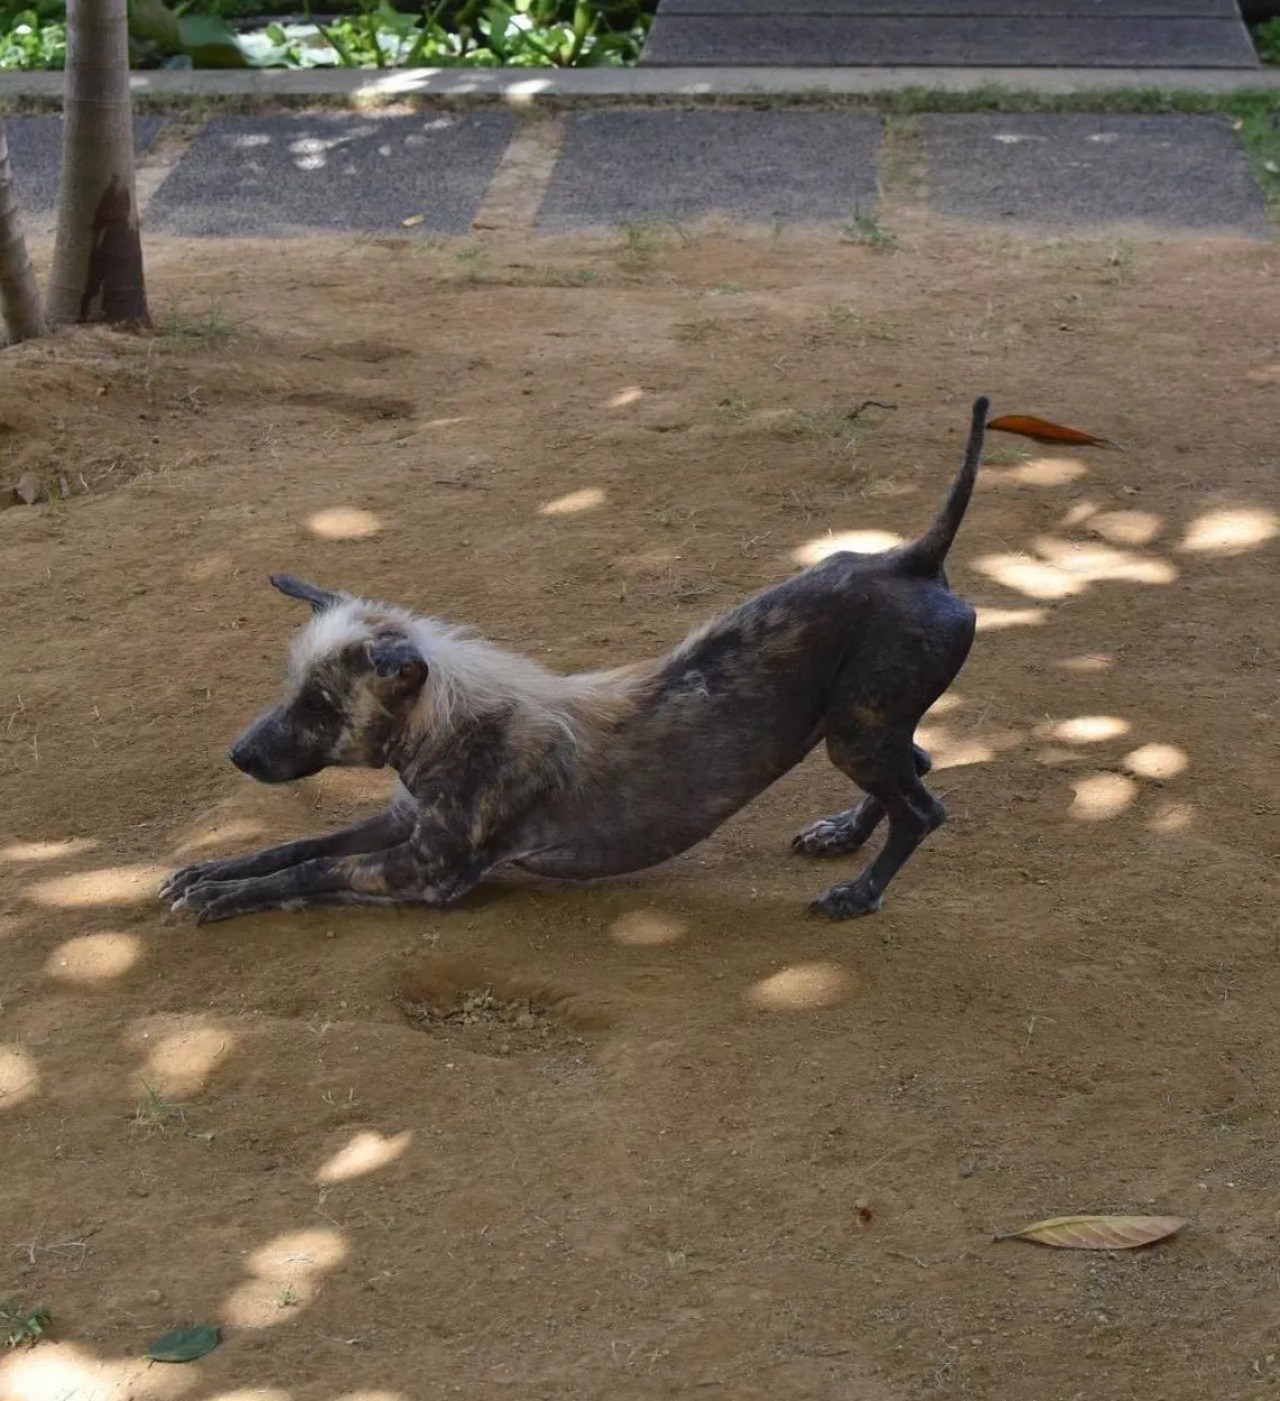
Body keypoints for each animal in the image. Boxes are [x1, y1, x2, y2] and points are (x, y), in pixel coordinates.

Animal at [159, 395, 985, 924]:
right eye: (288, 689)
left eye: (322, 706)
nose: (237, 754)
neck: (450, 729)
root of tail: (912, 558)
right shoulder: (397, 822)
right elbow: (296, 844)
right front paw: (208, 870)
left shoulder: (424, 870)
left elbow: (309, 870)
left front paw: (217, 899)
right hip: (863, 726)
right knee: (917, 766)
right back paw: (841, 834)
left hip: (855, 732)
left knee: (924, 806)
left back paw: (858, 893)